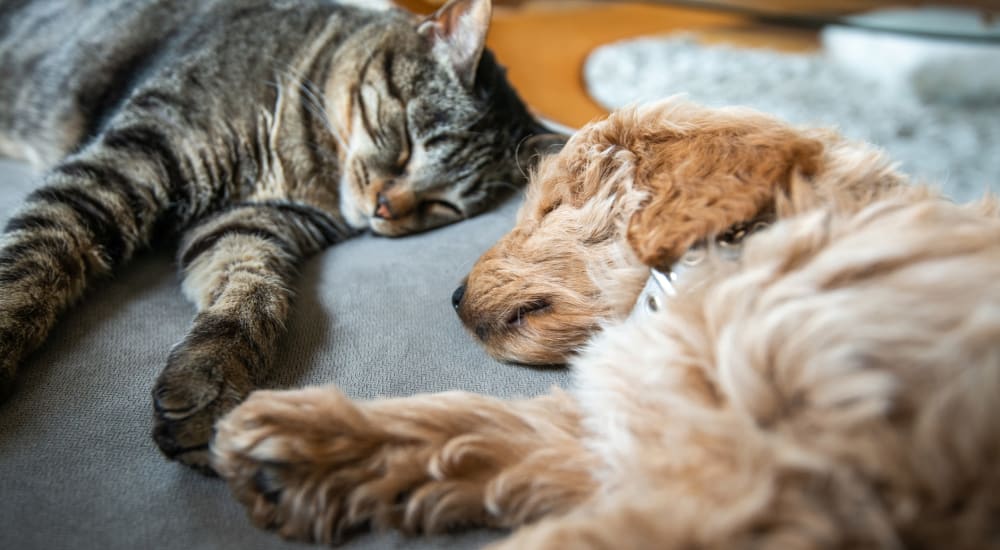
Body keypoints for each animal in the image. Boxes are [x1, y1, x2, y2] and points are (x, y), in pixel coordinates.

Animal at [0, 0, 564, 474]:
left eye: (442, 205)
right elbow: (34, 256)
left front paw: (210, 382)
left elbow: (253, 297)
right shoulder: (131, 162)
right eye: (406, 143)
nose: (385, 208)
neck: (303, 165)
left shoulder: (248, 224)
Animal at [211, 101, 1000, 548]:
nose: (455, 296)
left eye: (554, 205)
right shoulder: (645, 425)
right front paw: (310, 444)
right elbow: (485, 426)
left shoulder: (776, 485)